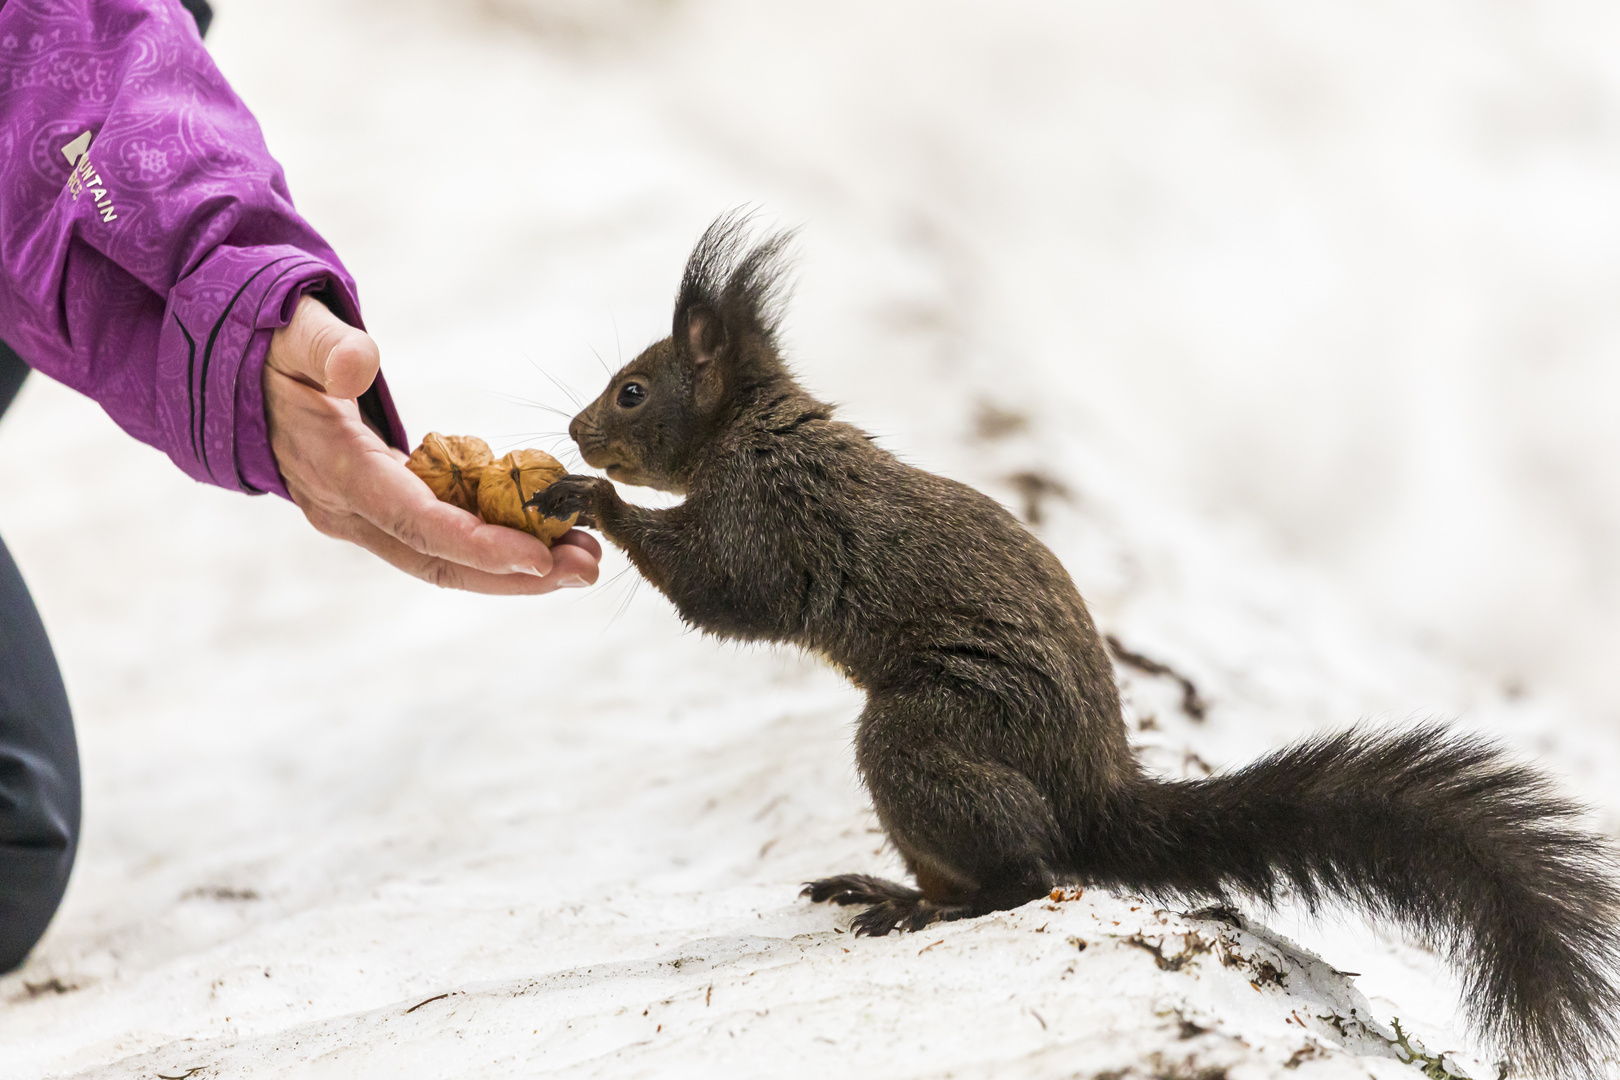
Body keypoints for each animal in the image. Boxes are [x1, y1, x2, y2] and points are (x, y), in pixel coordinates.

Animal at [531, 213, 1620, 1080]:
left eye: (633, 392)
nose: (578, 433)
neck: (751, 429)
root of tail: (1097, 791)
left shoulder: (770, 518)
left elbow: (724, 591)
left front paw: (594, 501)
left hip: (931, 738)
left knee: (1027, 870)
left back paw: (934, 909)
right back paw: (889, 888)